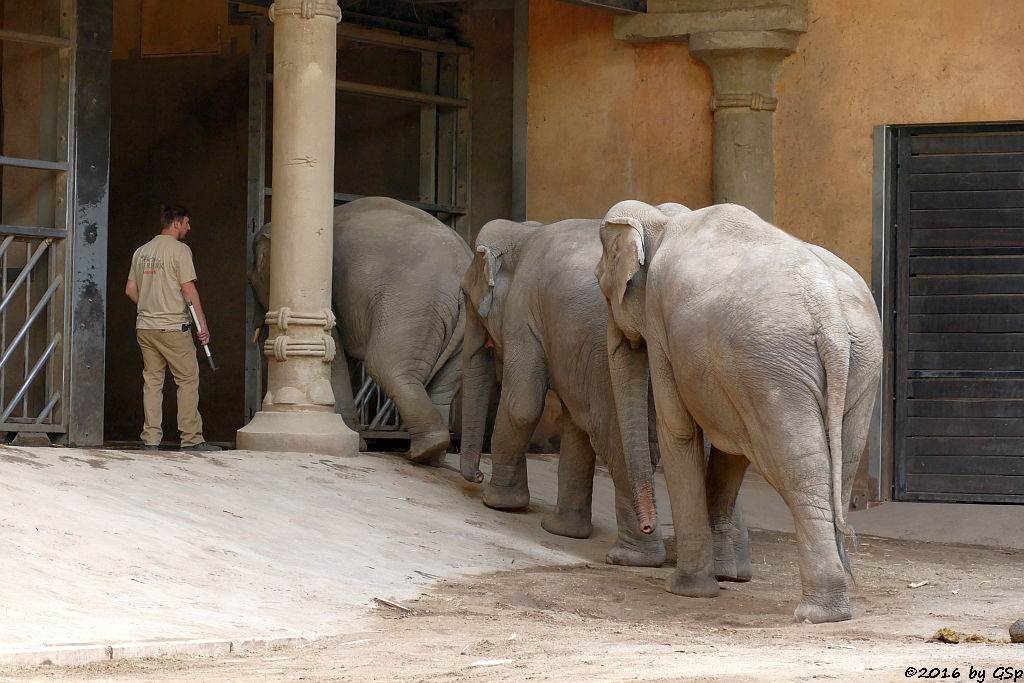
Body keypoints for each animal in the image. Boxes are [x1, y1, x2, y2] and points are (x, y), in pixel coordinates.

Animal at [247, 197, 471, 464]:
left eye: (252, 278)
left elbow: (334, 356)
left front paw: (356, 445)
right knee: (445, 384)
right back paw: (432, 454)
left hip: (413, 303)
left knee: (385, 365)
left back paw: (422, 452)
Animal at [460, 215, 757, 577]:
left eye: (464, 297)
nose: (476, 476)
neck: (523, 231)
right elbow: (575, 425)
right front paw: (561, 531)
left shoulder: (522, 314)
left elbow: (523, 405)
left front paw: (498, 504)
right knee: (721, 449)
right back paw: (731, 571)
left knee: (618, 444)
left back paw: (632, 559)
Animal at [598, 198, 884, 626]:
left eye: (601, 284)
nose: (648, 528)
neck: (666, 218)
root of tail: (830, 313)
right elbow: (730, 448)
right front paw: (723, 576)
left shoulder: (661, 325)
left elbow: (679, 430)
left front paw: (688, 590)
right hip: (861, 362)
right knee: (842, 466)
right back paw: (835, 600)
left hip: (773, 364)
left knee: (801, 469)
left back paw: (818, 612)